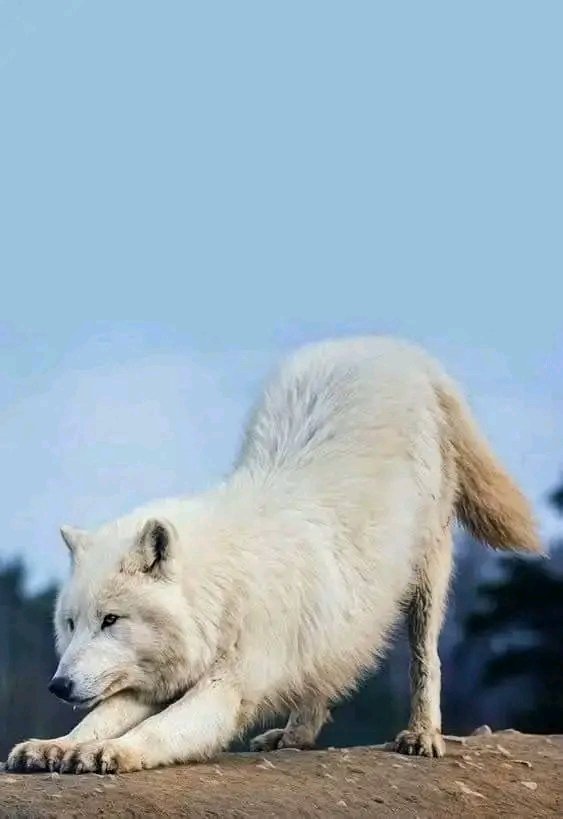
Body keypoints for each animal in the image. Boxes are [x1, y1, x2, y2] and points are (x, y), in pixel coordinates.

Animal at [7, 337, 540, 774]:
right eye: (71, 624)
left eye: (111, 620)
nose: (58, 686)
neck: (220, 595)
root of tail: (398, 349)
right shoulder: (156, 680)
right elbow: (98, 718)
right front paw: (54, 746)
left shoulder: (228, 686)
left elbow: (157, 729)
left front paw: (112, 751)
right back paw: (294, 736)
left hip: (425, 575)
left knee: (426, 657)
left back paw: (421, 734)